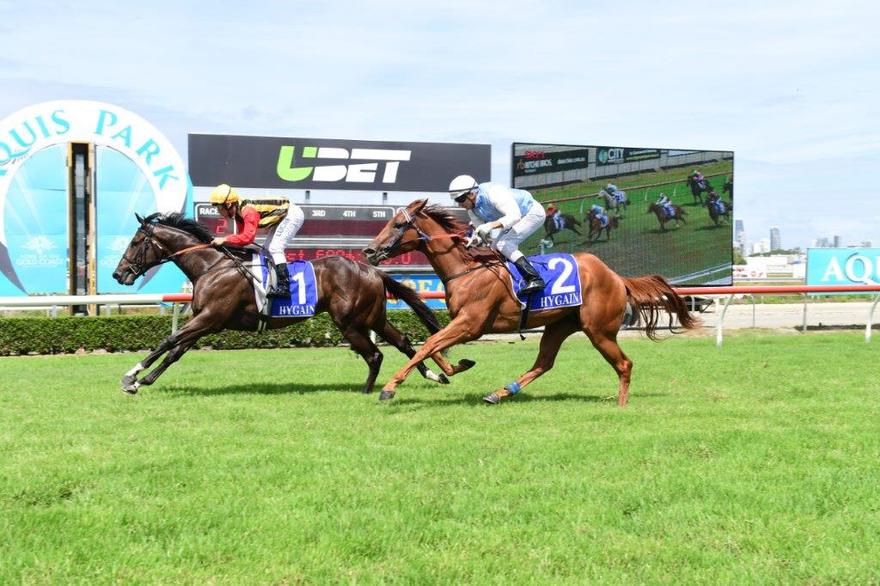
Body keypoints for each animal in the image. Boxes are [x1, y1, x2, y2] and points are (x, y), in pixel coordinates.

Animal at [112, 212, 466, 395]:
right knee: (404, 342)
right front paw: (145, 380)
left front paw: (131, 377)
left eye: (136, 241)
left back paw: (368, 390)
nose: (118, 273)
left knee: (375, 354)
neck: (212, 266)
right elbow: (176, 351)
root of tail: (373, 270)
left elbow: (168, 340)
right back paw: (435, 376)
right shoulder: (208, 321)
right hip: (373, 316)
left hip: (349, 321)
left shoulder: (210, 317)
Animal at [362, 200, 699, 406]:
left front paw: (390, 388)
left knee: (623, 364)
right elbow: (433, 347)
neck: (467, 270)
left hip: (599, 330)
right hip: (560, 325)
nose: (369, 251)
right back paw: (499, 393)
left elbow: (431, 344)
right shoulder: (461, 323)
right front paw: (454, 368)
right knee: (543, 363)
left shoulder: (471, 324)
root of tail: (616, 277)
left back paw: (620, 404)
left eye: (397, 225)